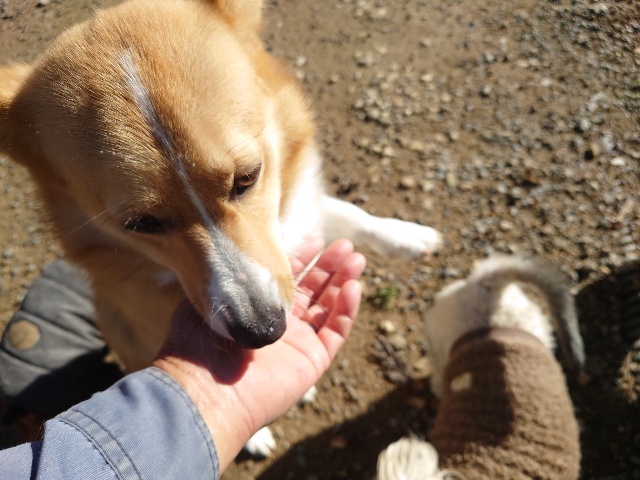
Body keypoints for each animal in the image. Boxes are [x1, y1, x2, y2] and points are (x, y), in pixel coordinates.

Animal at [0, 0, 441, 456]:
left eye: (247, 176)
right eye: (141, 223)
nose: (262, 332)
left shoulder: (301, 207)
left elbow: (350, 213)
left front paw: (408, 235)